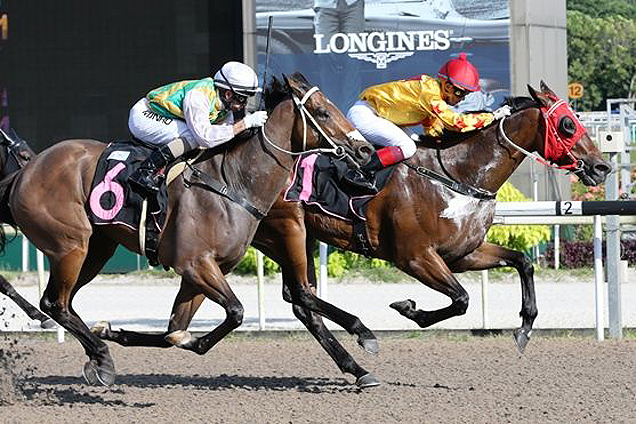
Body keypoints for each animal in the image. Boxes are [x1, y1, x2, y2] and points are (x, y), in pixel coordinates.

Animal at [0, 73, 376, 388]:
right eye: (322, 112)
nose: (365, 150)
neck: (234, 183)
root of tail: (24, 172)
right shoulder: (195, 264)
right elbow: (235, 312)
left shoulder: (202, 273)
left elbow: (174, 331)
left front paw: (120, 331)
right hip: (71, 245)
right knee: (55, 303)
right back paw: (101, 358)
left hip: (97, 249)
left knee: (63, 302)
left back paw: (95, 352)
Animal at [247, 83, 612, 380]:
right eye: (567, 124)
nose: (602, 167)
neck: (458, 176)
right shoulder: (415, 257)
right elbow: (461, 299)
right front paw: (408, 308)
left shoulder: (463, 254)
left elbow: (522, 262)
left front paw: (523, 330)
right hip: (288, 232)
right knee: (301, 295)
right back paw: (362, 339)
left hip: (294, 239)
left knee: (300, 302)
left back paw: (358, 369)